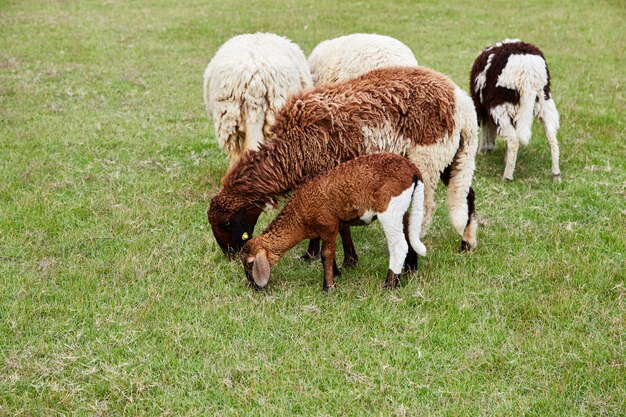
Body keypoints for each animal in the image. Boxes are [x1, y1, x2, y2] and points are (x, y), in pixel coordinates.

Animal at [210, 64, 478, 268]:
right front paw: (317, 255)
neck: (291, 151)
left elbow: (337, 225)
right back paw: (466, 244)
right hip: (452, 157)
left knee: (426, 208)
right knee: (466, 195)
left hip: (428, 157)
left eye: (227, 223)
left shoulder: (326, 175)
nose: (231, 255)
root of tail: (462, 103)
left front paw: (341, 259)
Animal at [239, 151, 424, 290]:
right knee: (409, 235)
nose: (253, 286)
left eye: (250, 263)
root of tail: (413, 170)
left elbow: (326, 254)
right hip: (403, 208)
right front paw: (336, 274)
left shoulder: (328, 225)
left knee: (399, 246)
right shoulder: (331, 227)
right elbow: (331, 252)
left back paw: (389, 285)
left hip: (389, 210)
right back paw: (409, 272)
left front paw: (328, 287)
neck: (298, 217)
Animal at [468, 38, 560, 180]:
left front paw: (483, 150)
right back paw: (556, 175)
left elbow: (484, 128)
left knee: (513, 140)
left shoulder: (482, 108)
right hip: (544, 102)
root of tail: (529, 70)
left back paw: (507, 176)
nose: (490, 149)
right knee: (552, 137)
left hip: (502, 105)